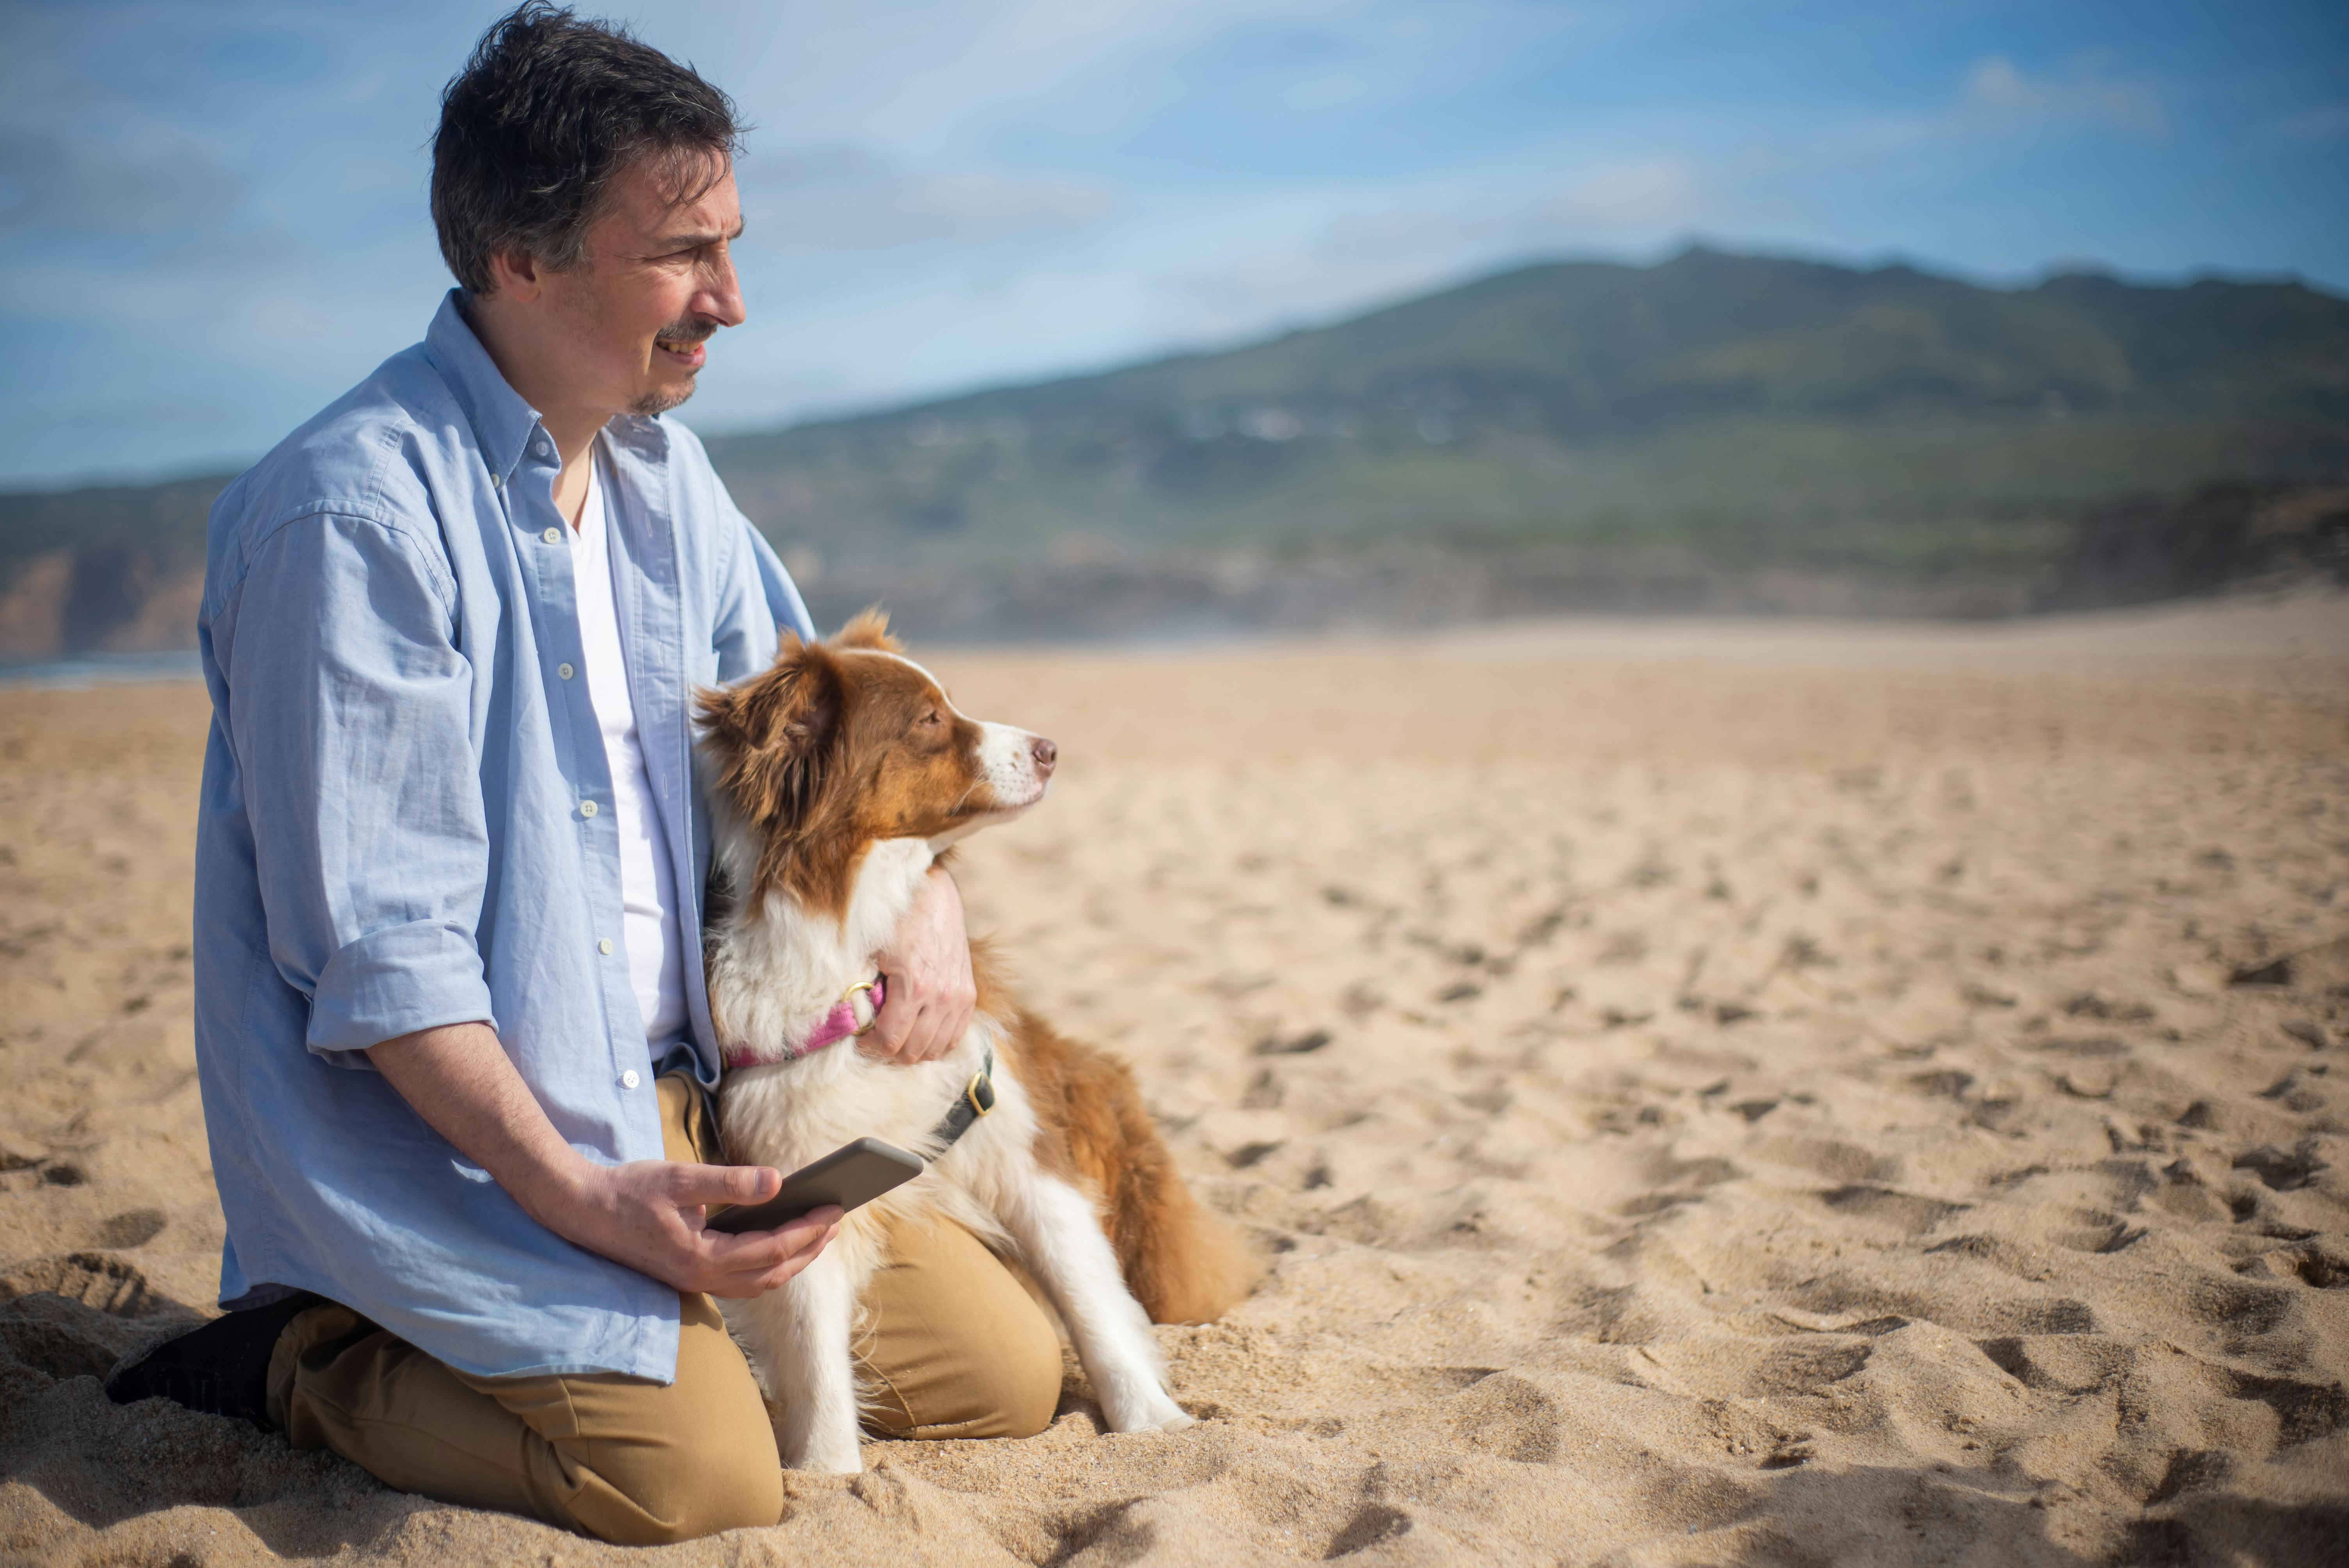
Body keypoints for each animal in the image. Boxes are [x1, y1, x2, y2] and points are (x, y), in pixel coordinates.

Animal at [690, 610, 1259, 1474]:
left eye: (950, 702)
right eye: (929, 720)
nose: (1051, 747)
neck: (860, 972)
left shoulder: (1015, 1142)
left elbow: (1091, 1302)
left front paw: (1153, 1422)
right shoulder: (803, 1172)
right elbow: (816, 1356)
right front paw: (828, 1475)